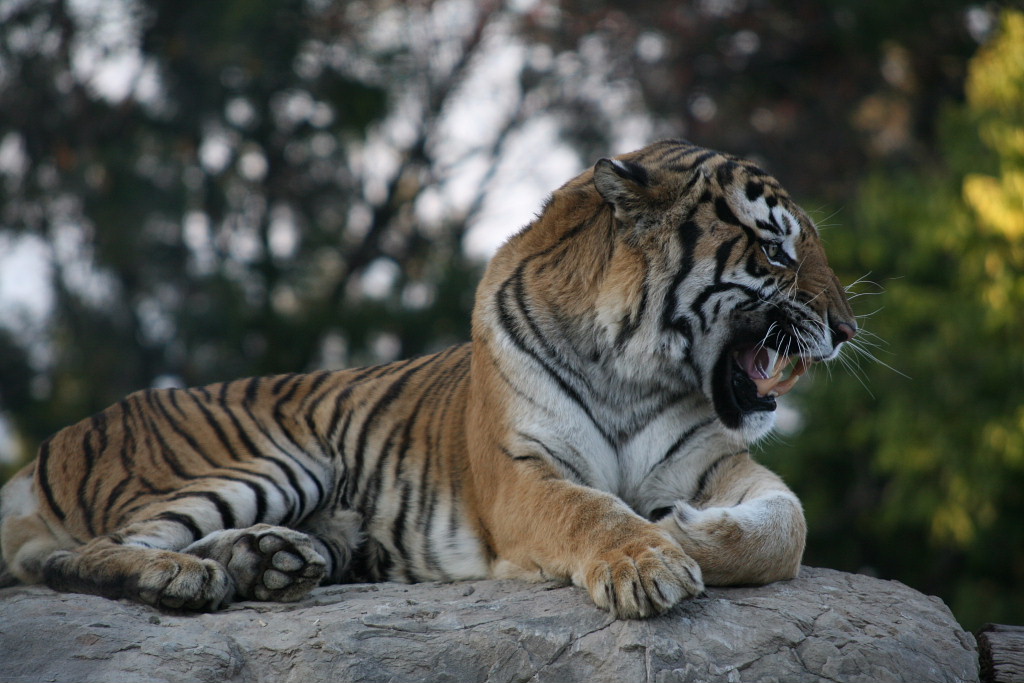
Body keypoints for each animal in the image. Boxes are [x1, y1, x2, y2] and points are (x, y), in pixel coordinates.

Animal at [0, 140, 856, 618]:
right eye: (776, 251)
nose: (846, 329)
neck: (636, 367)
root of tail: (54, 441)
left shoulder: (720, 465)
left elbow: (786, 525)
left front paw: (678, 526)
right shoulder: (521, 473)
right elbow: (589, 509)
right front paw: (649, 558)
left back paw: (275, 559)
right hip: (268, 458)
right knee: (71, 556)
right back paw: (184, 576)